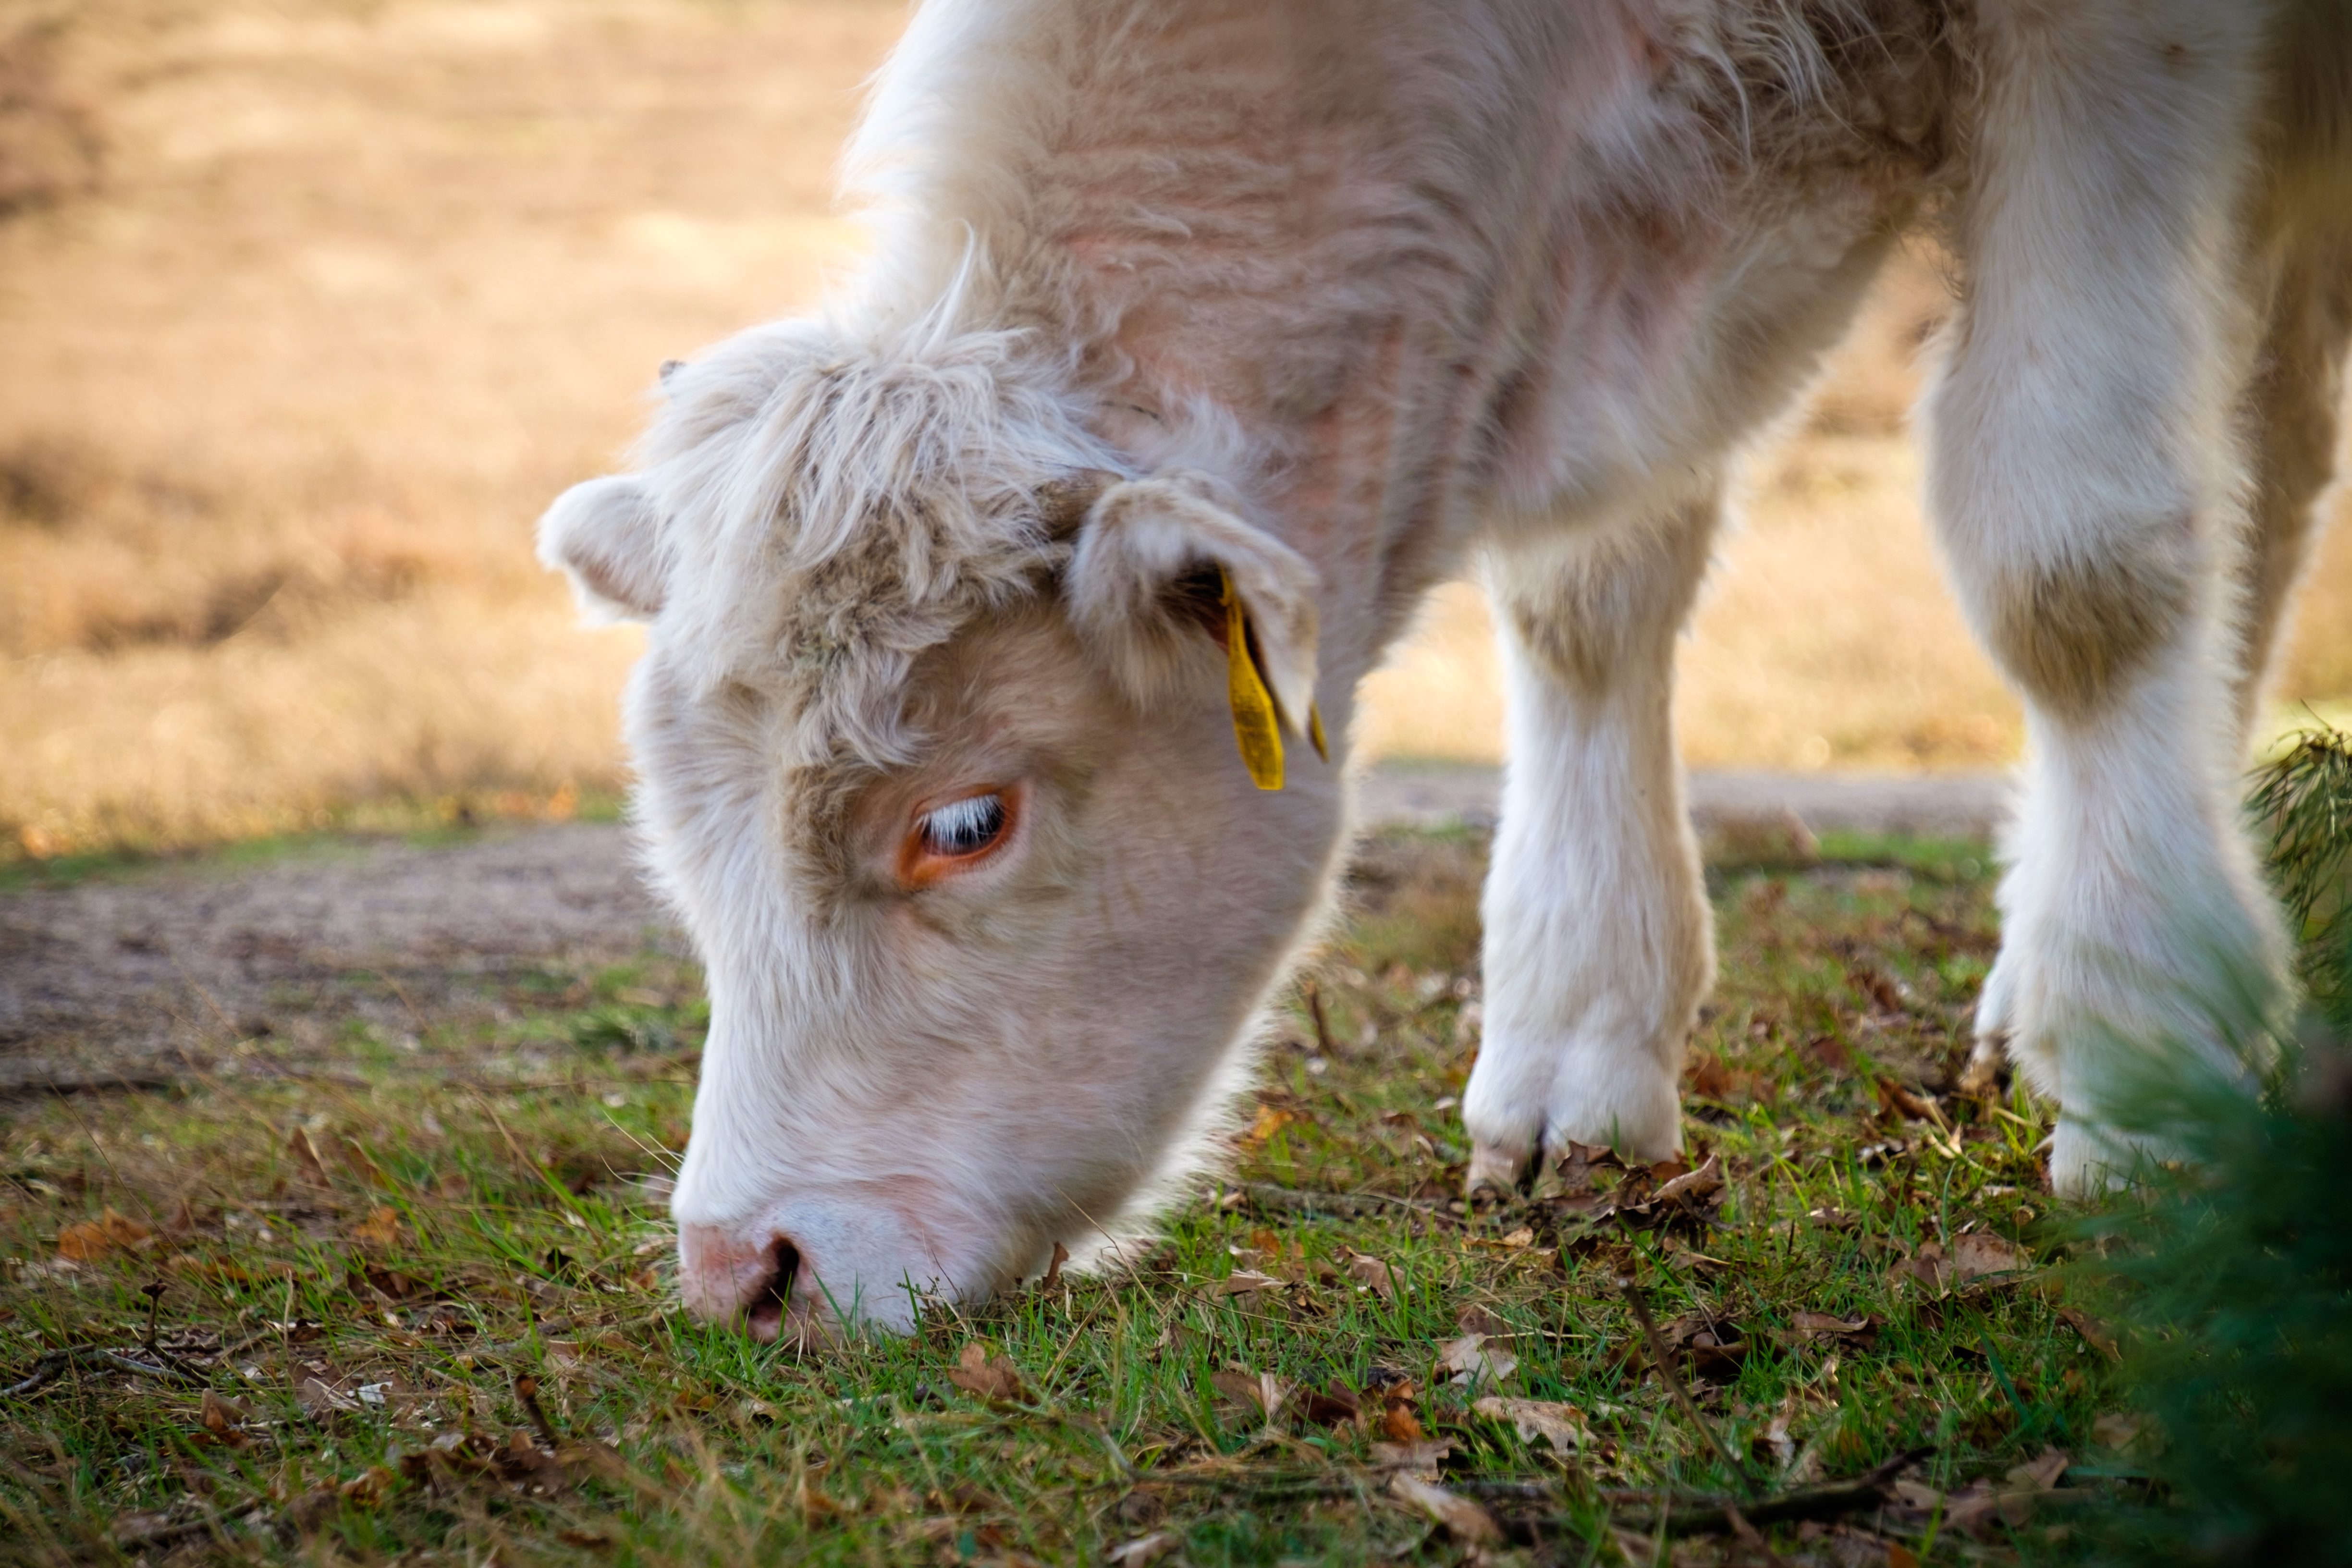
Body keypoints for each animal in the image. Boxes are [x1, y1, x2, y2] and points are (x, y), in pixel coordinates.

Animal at [539, 0, 2352, 1335]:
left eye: (965, 822)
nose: (741, 1270)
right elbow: (1586, 603)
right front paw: (1578, 1057)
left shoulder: (2112, 63)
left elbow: (2075, 558)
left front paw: (2142, 1062)